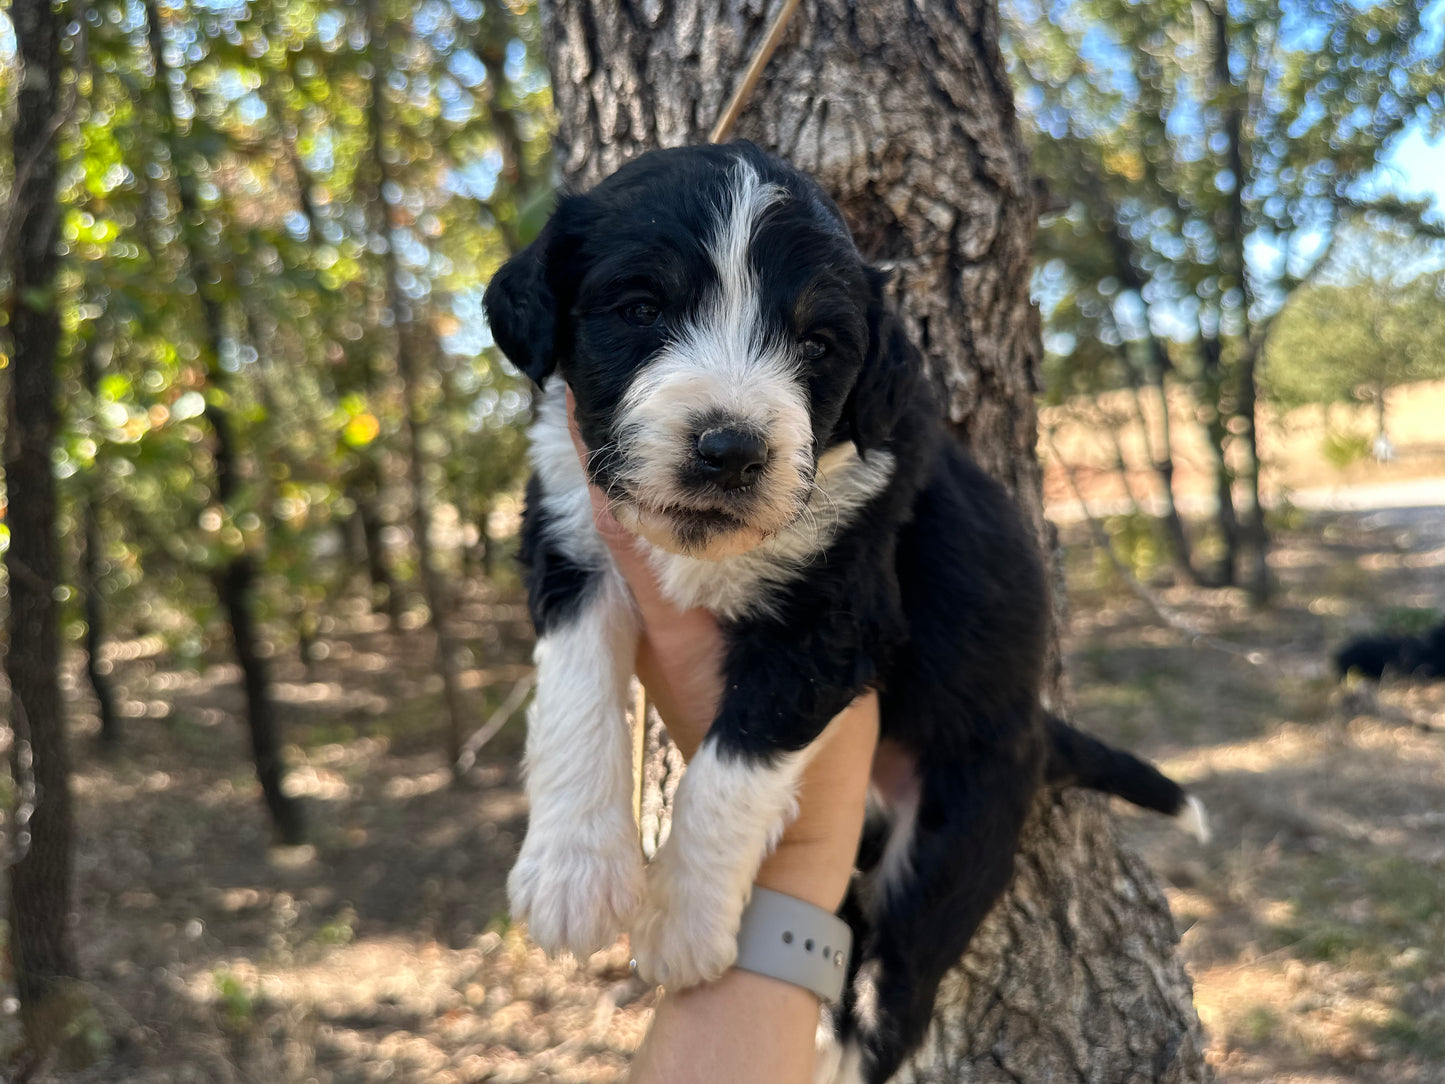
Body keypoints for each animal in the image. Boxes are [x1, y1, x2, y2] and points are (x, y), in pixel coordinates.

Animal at [482, 140, 1196, 1081]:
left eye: (817, 342)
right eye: (639, 307)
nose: (729, 449)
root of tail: (1038, 731)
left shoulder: (838, 623)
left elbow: (733, 763)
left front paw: (683, 921)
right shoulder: (569, 536)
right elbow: (572, 690)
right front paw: (572, 871)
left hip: (945, 855)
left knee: (889, 1001)